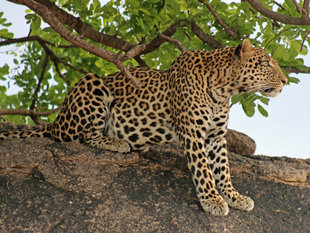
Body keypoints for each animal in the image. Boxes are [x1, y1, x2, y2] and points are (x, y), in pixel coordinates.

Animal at [0, 39, 288, 217]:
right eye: (266, 64)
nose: (285, 81)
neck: (224, 89)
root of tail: (58, 118)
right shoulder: (193, 133)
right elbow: (204, 170)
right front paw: (212, 201)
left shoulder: (216, 137)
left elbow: (223, 169)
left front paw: (234, 196)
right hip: (92, 84)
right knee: (83, 136)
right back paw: (118, 142)